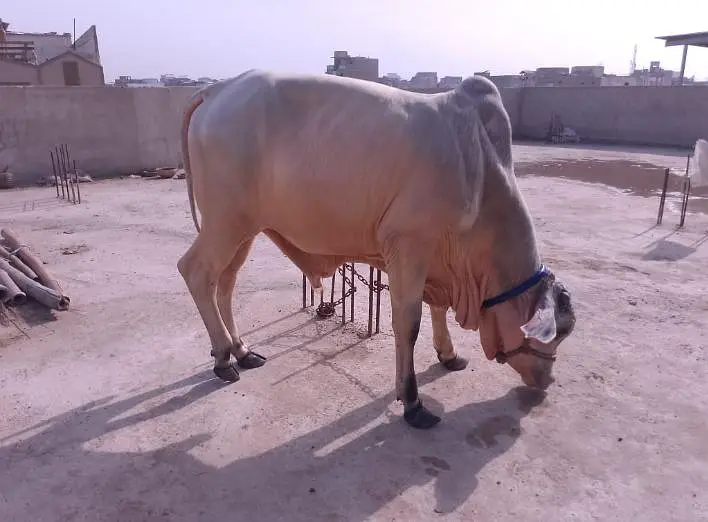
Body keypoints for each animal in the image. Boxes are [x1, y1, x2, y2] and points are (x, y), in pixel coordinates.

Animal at [177, 69, 576, 429]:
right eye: (561, 332)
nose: (548, 381)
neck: (480, 168)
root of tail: (218, 88)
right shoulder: (410, 244)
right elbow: (408, 324)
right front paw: (412, 401)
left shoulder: (435, 255)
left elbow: (437, 309)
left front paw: (448, 354)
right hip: (225, 222)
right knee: (196, 272)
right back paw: (224, 359)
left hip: (244, 229)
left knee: (224, 283)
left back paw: (242, 350)